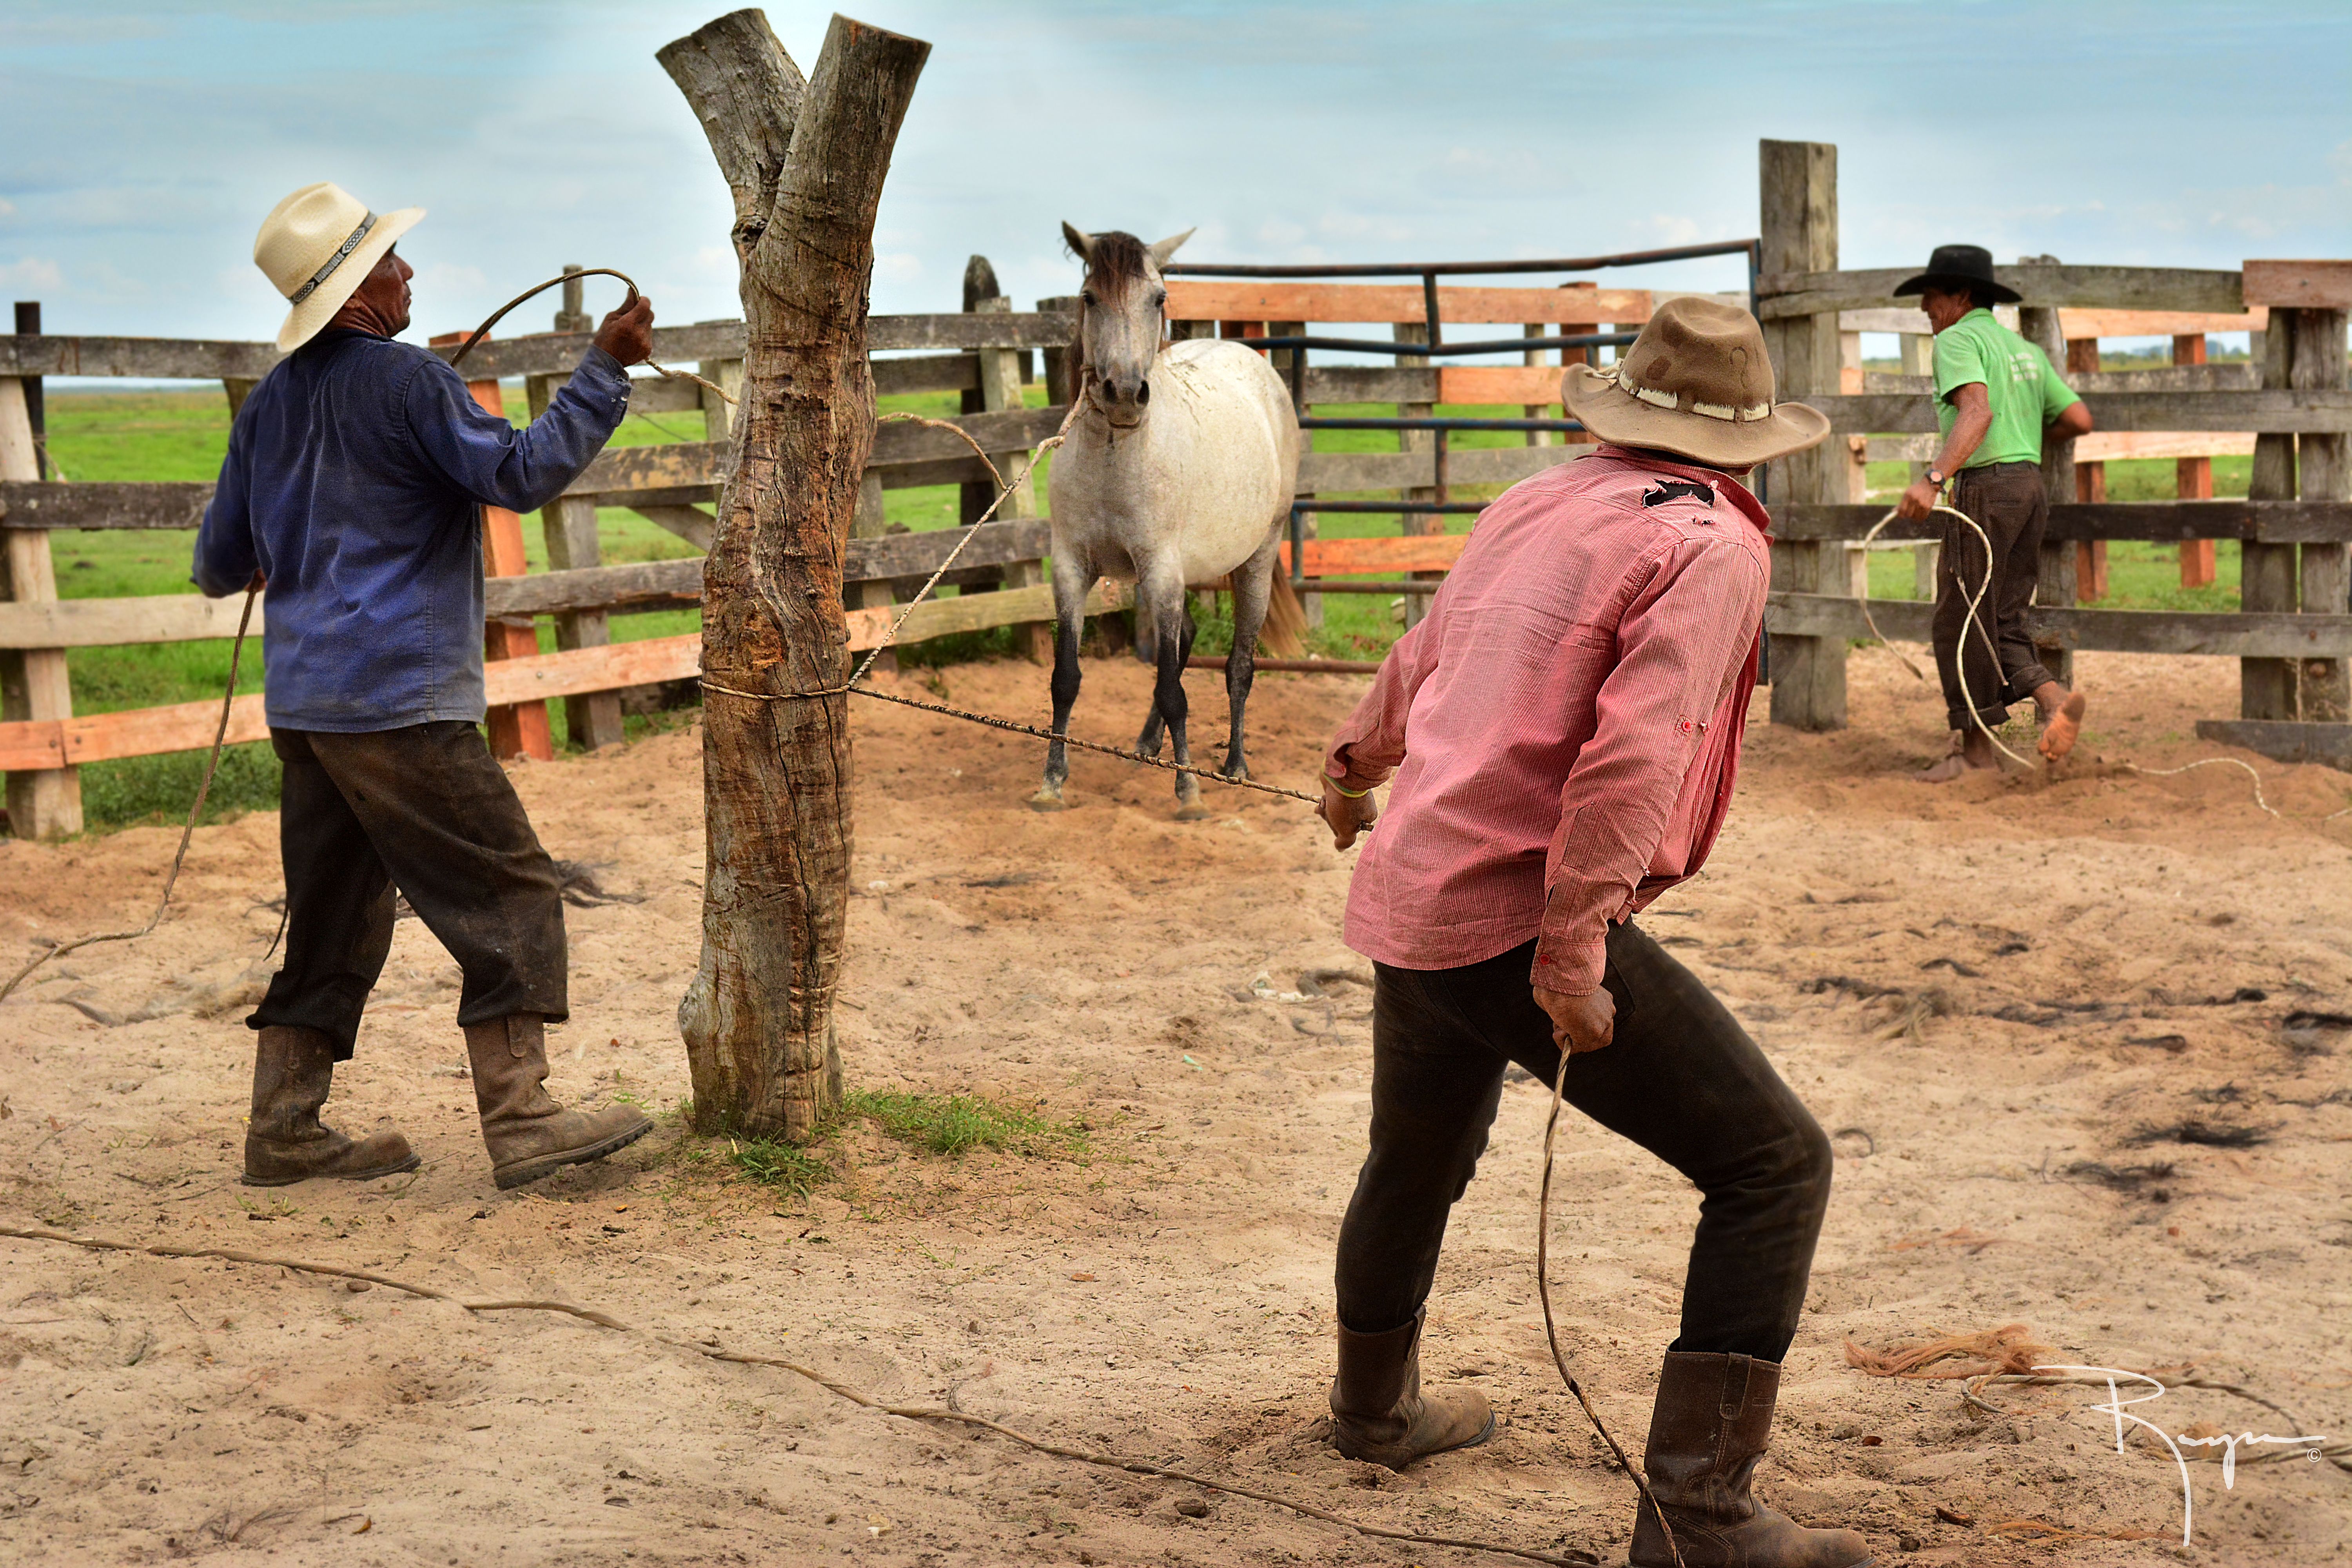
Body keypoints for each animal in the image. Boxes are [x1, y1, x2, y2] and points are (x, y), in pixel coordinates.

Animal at [1040, 227, 1308, 827]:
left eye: (1158, 298)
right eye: (1090, 297)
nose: (1122, 393)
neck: (1115, 455)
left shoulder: (1162, 570)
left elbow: (1173, 688)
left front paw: (1189, 793)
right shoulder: (1071, 570)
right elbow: (1067, 679)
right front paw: (1051, 782)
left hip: (1255, 559)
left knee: (1238, 664)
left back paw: (1234, 765)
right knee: (1184, 641)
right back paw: (1146, 745)